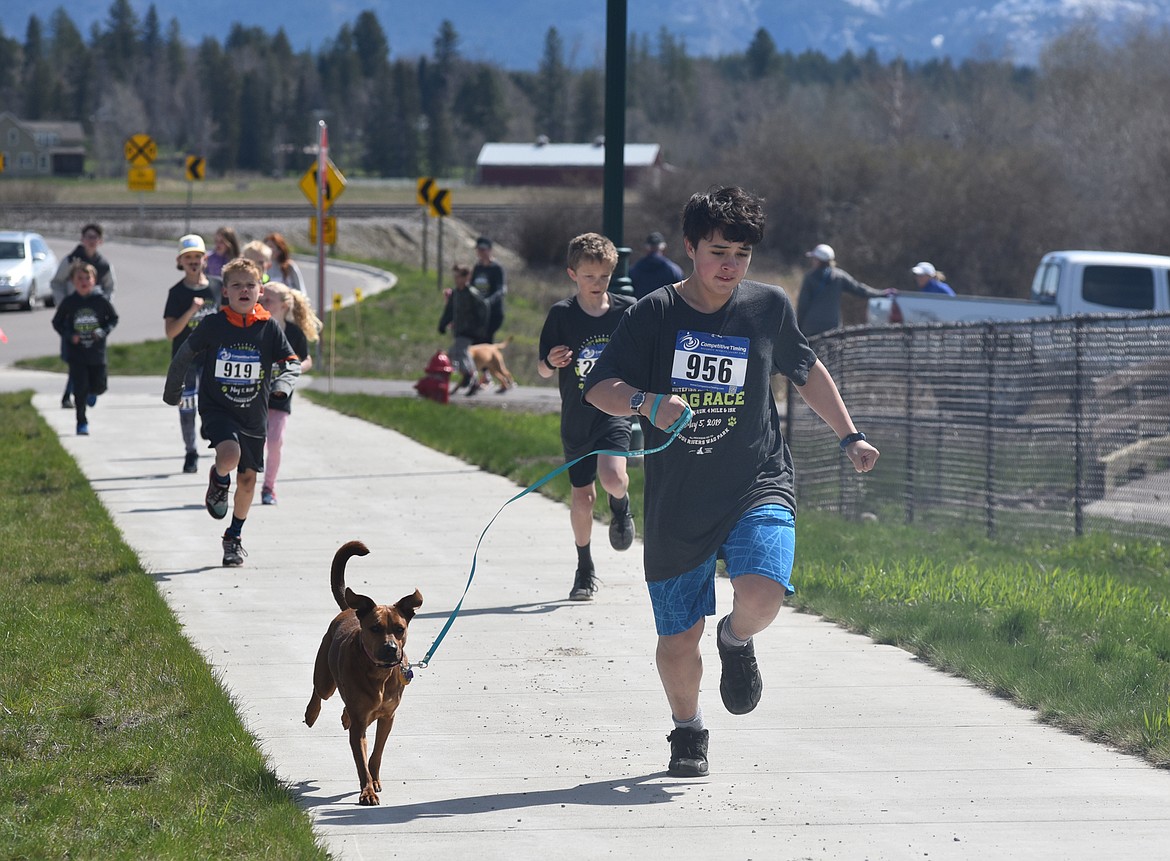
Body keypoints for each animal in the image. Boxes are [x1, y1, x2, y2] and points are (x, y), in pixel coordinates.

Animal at [306, 540, 425, 804]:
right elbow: (360, 761)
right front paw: (367, 791)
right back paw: (311, 714)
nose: (391, 649)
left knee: (345, 709)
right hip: (325, 679)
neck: (380, 675)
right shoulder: (360, 725)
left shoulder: (388, 717)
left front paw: (375, 780)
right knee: (319, 692)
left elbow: (376, 754)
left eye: (400, 629)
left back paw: (344, 716)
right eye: (375, 628)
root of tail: (350, 610)